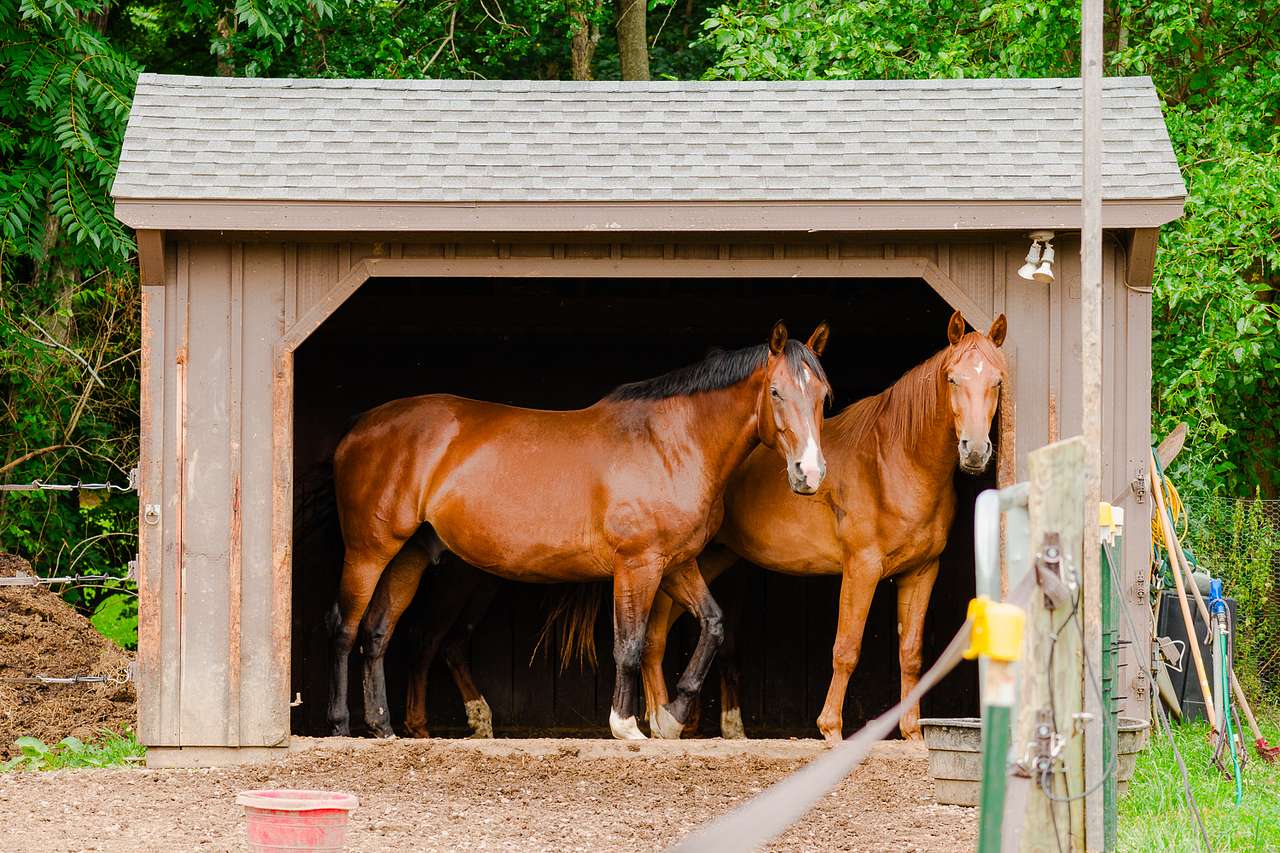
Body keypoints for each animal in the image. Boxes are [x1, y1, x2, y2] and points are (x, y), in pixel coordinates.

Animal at [326, 321, 833, 740]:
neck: (668, 444)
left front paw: (670, 717)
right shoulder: (637, 566)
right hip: (369, 552)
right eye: (775, 392)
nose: (809, 472)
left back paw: (383, 727)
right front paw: (627, 725)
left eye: (822, 394)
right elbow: (629, 643)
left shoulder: (675, 563)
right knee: (347, 628)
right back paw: (340, 726)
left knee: (379, 631)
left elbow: (713, 624)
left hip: (409, 555)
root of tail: (361, 426)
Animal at [640, 310, 1006, 742]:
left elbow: (912, 654)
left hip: (713, 559)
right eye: (952, 379)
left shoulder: (921, 572)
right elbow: (846, 648)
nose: (975, 451)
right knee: (655, 631)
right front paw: (831, 729)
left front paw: (912, 733)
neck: (895, 461)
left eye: (997, 381)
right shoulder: (862, 567)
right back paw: (659, 720)